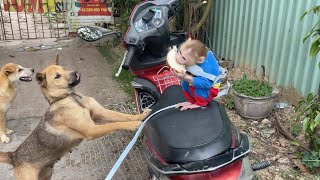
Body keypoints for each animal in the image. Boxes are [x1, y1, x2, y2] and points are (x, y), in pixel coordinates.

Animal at [0, 53, 151, 180]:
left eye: (63, 68)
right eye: (57, 76)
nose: (76, 72)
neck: (70, 97)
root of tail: (14, 155)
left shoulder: (100, 113)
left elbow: (122, 116)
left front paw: (141, 115)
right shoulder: (91, 129)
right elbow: (116, 124)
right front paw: (134, 125)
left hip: (46, 174)